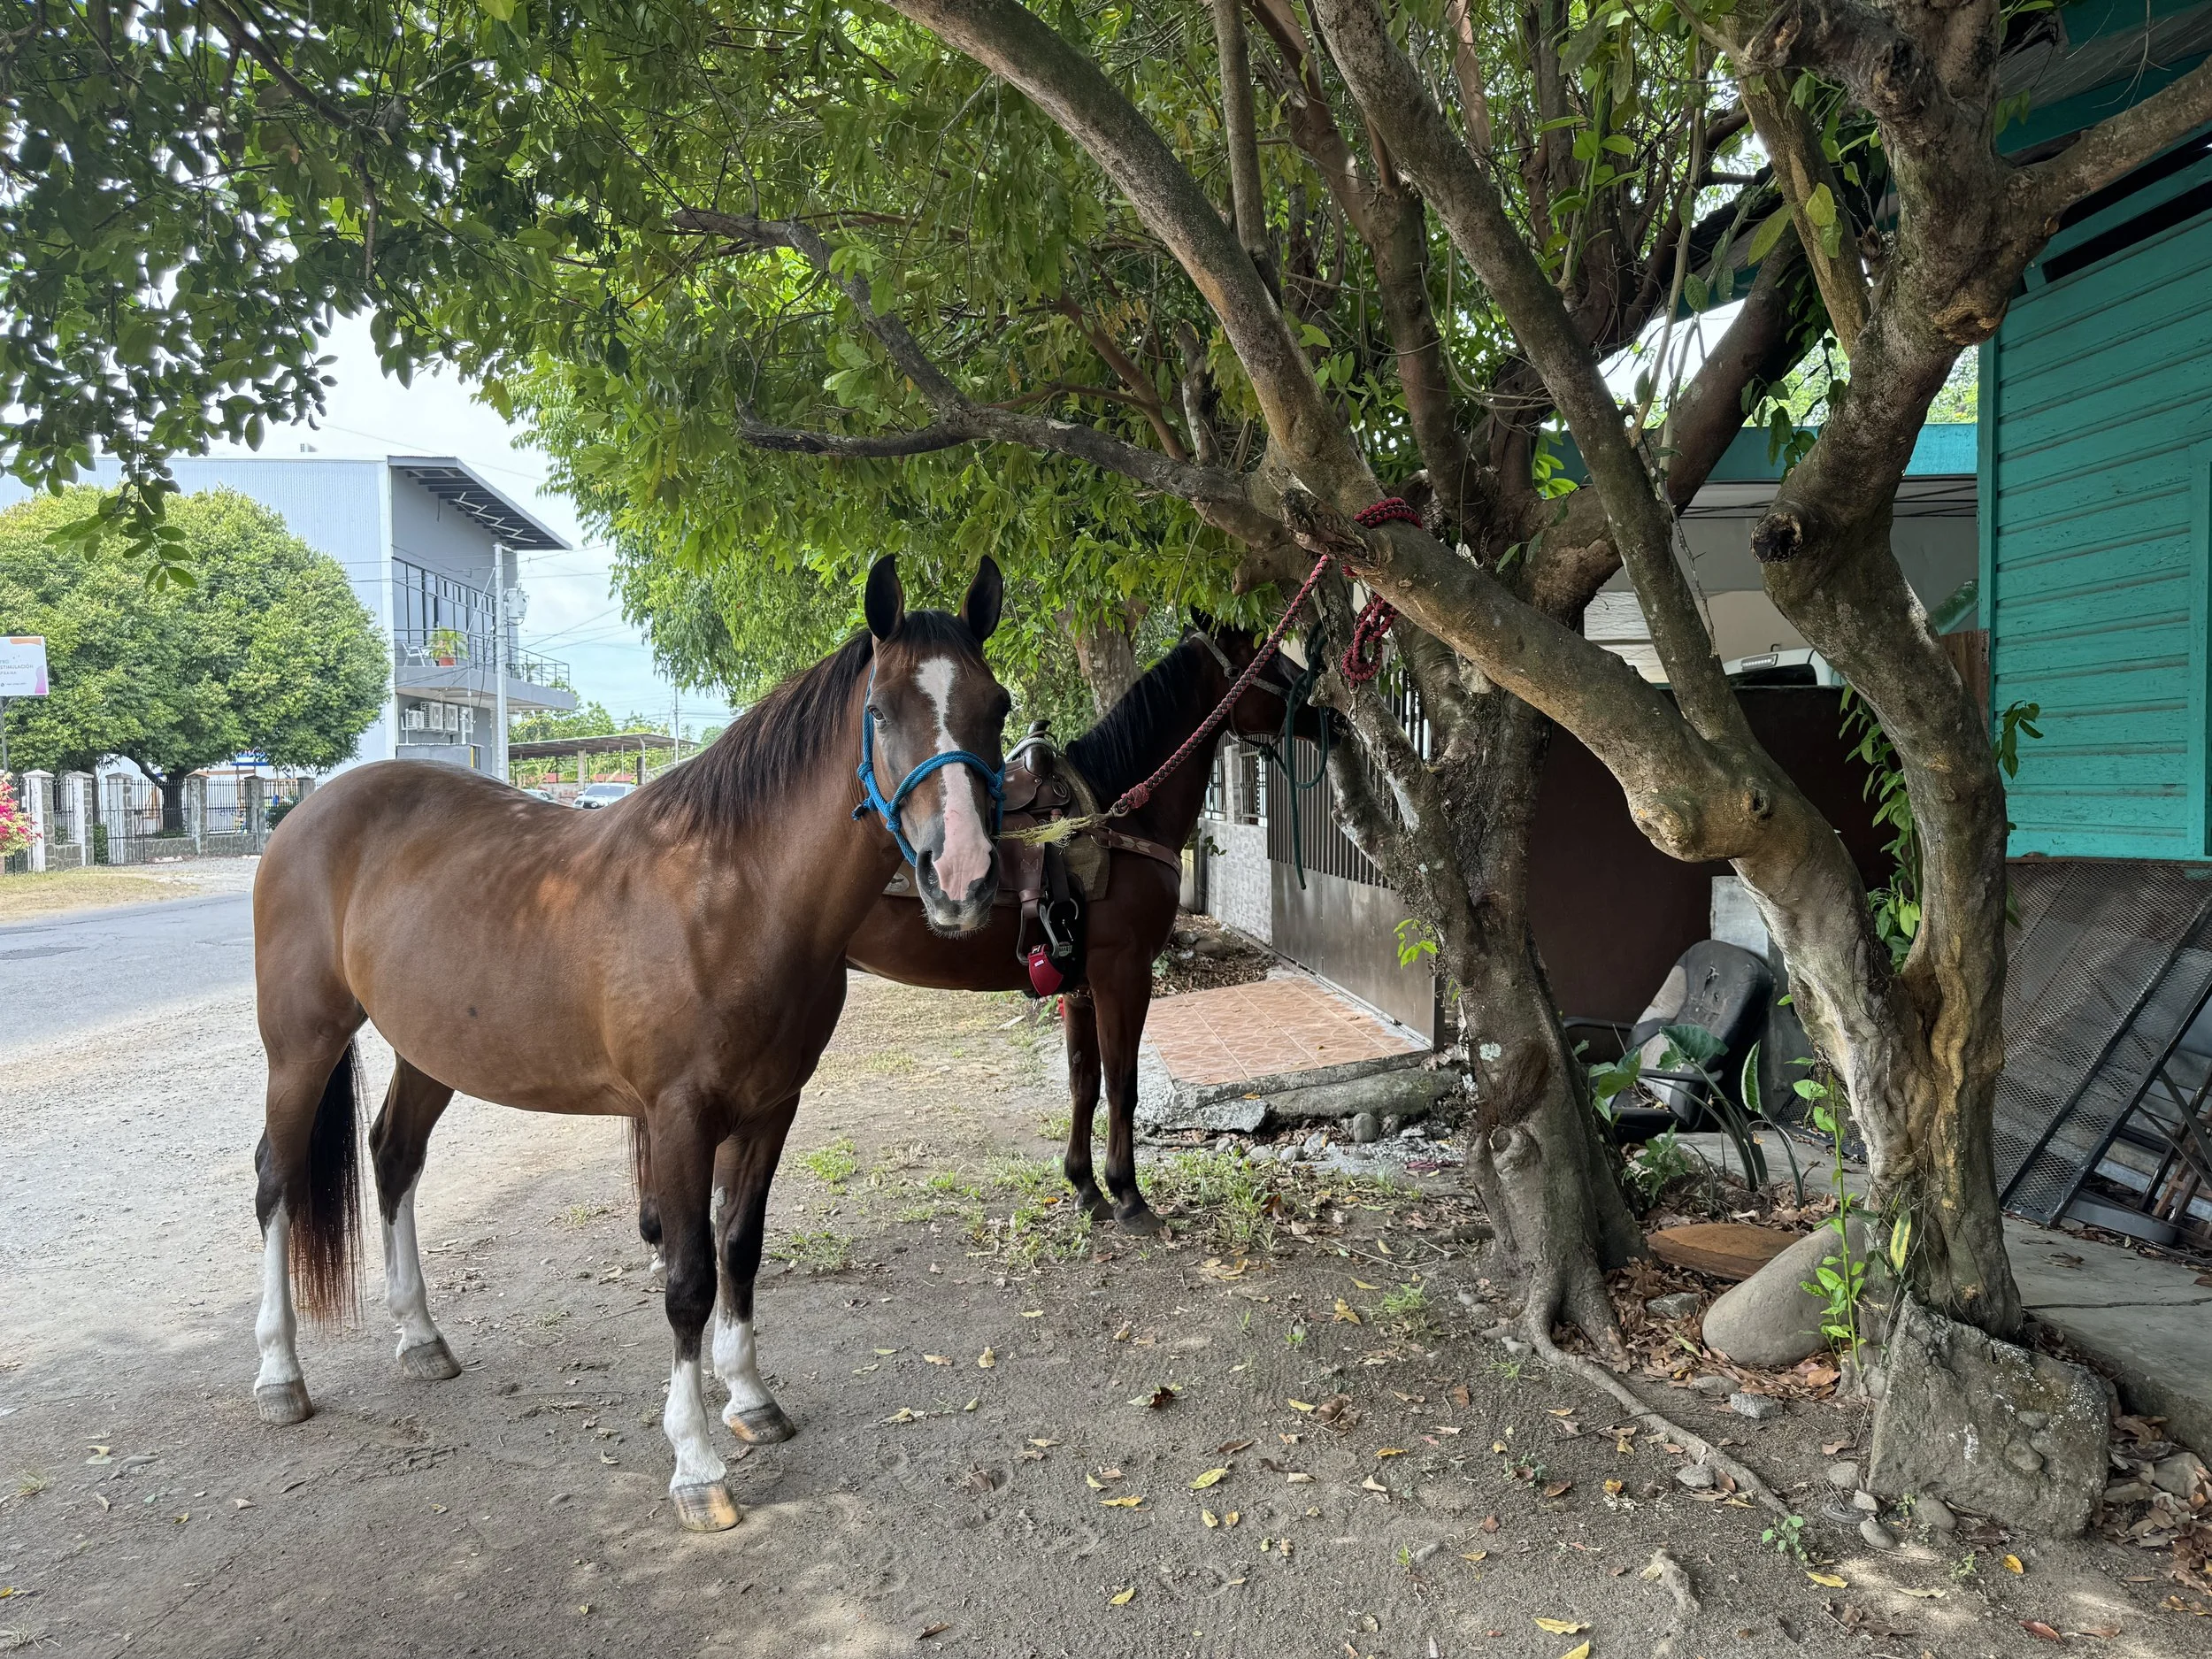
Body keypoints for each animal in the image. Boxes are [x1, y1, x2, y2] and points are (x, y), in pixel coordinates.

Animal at [247, 556, 1009, 1532]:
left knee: (393, 1157)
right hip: (300, 1043)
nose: (962, 878)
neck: (735, 895)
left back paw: (420, 1338)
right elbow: (687, 1279)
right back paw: (280, 1375)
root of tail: (306, 812)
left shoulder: (771, 1110)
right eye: (879, 711)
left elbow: (740, 1249)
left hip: (428, 1053)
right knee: (276, 1179)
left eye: (996, 704)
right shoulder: (679, 1118)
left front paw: (751, 1399)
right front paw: (697, 1466)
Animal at [834, 620, 1332, 1235]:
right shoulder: (1124, 974)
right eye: (1277, 664)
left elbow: (1083, 1083)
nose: (1331, 715)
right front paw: (1128, 1195)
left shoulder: (1078, 985)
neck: (1120, 815)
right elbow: (1122, 1083)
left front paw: (1085, 1187)